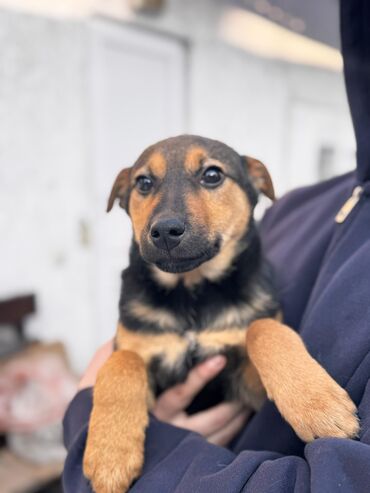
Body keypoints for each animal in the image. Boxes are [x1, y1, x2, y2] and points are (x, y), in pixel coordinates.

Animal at [83, 135, 358, 492]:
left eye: (212, 175)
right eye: (143, 183)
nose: (165, 230)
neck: (192, 292)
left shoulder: (244, 391)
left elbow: (263, 327)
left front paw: (319, 405)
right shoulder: (142, 354)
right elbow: (122, 361)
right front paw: (110, 455)